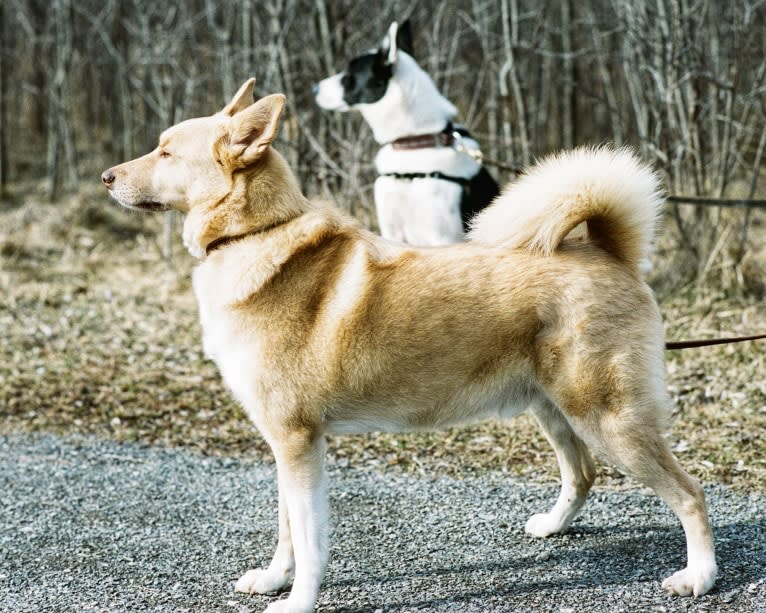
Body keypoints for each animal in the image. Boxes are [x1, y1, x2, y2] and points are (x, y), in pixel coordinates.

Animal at [102, 79, 720, 608]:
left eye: (165, 153)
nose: (106, 177)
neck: (254, 234)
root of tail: (611, 252)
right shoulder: (283, 444)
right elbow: (287, 533)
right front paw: (274, 579)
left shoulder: (298, 443)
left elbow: (309, 539)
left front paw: (297, 601)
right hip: (553, 409)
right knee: (583, 473)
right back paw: (552, 526)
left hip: (609, 419)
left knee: (690, 494)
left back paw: (699, 576)